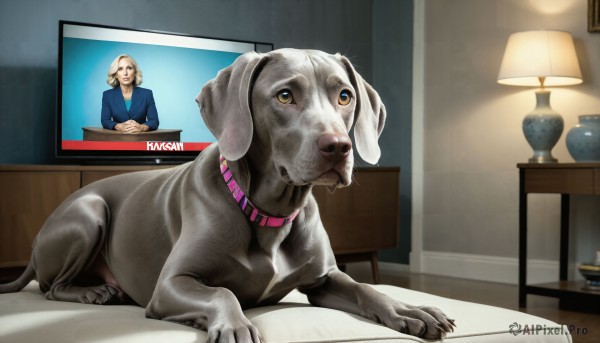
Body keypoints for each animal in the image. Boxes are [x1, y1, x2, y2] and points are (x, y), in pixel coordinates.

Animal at [0, 49, 452, 343]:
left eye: (345, 96)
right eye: (285, 95)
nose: (339, 147)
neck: (270, 211)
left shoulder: (324, 279)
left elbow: (366, 288)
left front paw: (410, 309)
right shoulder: (171, 283)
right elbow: (223, 292)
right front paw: (234, 326)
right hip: (88, 213)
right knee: (49, 286)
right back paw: (92, 292)